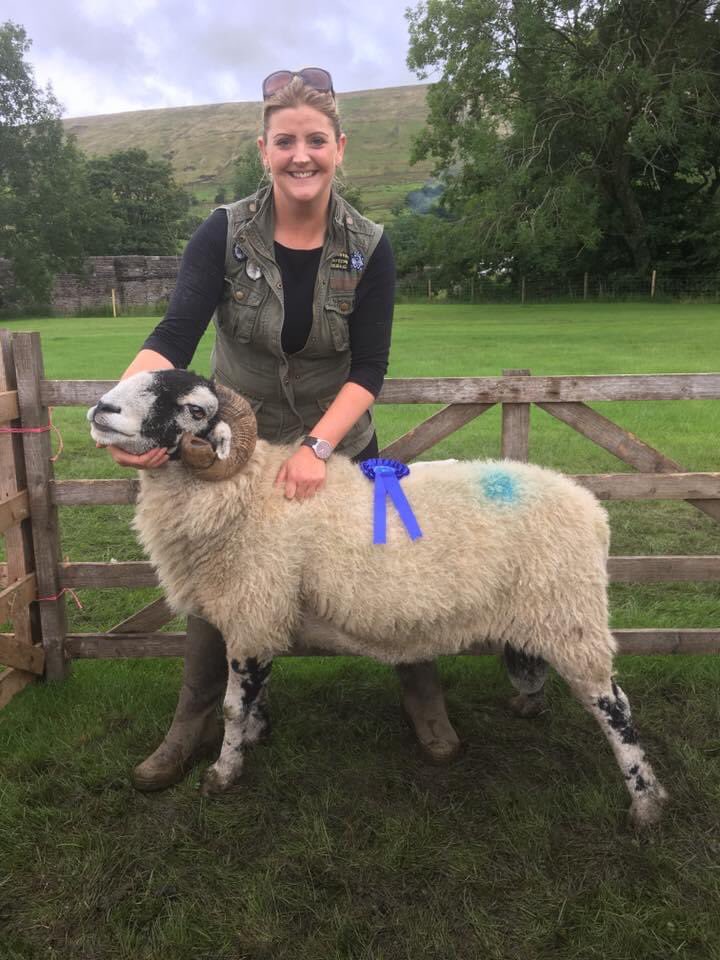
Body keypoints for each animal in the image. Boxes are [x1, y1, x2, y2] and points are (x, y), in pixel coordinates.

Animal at [88, 369, 668, 827]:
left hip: (569, 617)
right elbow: (254, 694)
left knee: (615, 707)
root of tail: (592, 509)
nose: (100, 409)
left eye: (194, 409)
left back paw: (645, 804)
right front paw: (255, 734)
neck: (248, 488)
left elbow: (232, 707)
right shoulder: (264, 612)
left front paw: (223, 773)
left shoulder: (253, 609)